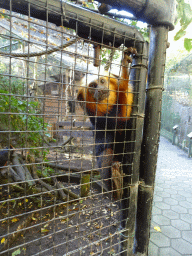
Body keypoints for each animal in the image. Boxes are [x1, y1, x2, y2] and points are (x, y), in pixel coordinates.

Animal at [77, 47, 136, 200]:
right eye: (93, 86)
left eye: (102, 81)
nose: (100, 89)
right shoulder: (99, 117)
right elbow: (120, 119)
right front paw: (124, 72)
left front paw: (124, 66)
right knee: (106, 151)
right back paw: (115, 185)